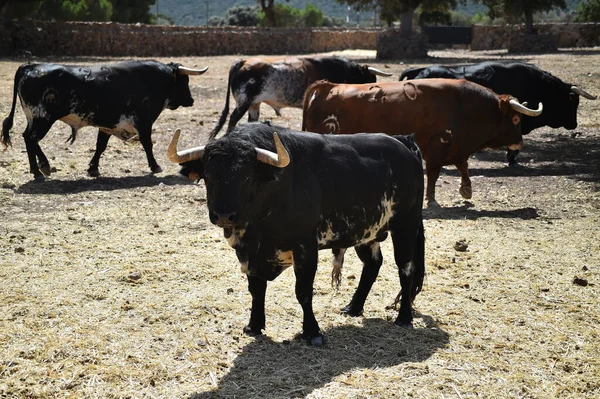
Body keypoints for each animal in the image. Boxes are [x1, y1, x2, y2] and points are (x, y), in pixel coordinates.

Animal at [2, 59, 209, 181]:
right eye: (184, 81)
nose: (191, 100)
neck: (154, 80)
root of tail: (30, 66)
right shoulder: (143, 121)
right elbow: (147, 144)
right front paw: (155, 166)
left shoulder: (109, 124)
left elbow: (100, 146)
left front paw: (93, 168)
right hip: (42, 118)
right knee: (31, 139)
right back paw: (41, 169)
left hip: (35, 118)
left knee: (28, 138)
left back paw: (37, 170)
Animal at [166, 122, 424, 346]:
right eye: (208, 176)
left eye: (247, 176)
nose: (223, 215)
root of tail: (403, 143)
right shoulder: (251, 255)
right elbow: (256, 290)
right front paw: (254, 325)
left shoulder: (306, 250)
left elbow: (303, 293)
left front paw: (312, 332)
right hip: (367, 232)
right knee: (372, 264)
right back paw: (353, 307)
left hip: (406, 226)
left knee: (406, 269)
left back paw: (404, 318)